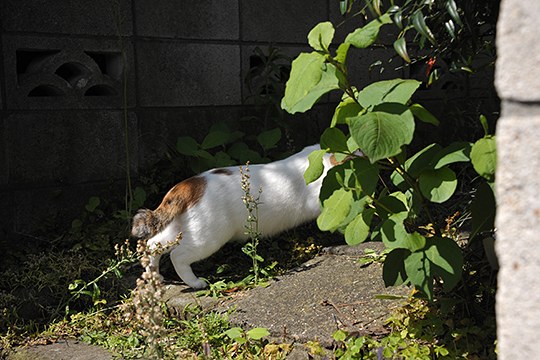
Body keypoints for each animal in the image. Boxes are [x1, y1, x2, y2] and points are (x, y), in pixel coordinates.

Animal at [132, 145, 334, 288]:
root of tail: (189, 184)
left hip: (180, 230)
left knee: (152, 244)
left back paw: (156, 276)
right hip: (208, 238)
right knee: (177, 256)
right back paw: (196, 283)